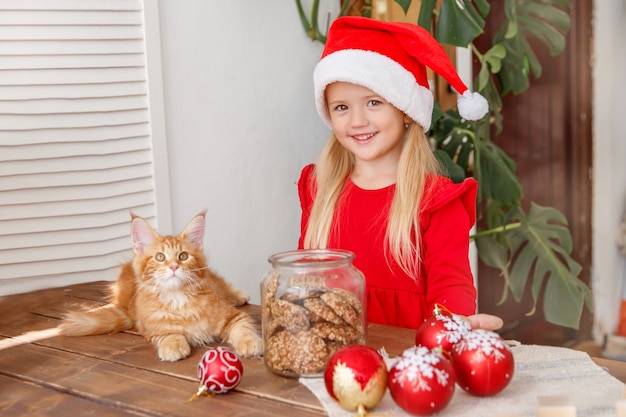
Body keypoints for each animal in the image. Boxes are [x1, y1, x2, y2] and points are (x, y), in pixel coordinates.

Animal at [57, 211, 262, 360]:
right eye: (160, 257)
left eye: (183, 256)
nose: (174, 266)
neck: (179, 298)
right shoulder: (150, 326)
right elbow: (167, 332)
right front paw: (173, 345)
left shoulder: (232, 315)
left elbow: (243, 327)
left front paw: (250, 343)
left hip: (214, 281)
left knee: (223, 286)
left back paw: (239, 295)